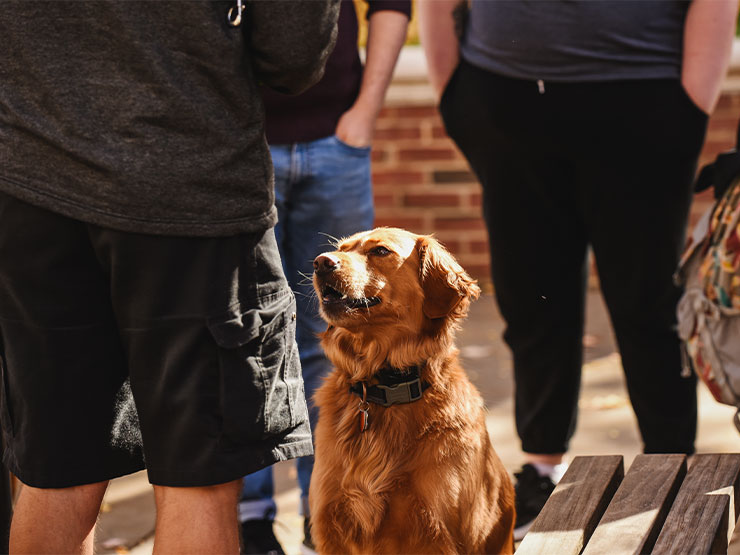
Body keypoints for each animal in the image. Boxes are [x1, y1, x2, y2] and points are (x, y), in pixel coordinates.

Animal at [310, 227, 512, 555]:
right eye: (341, 248)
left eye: (380, 251)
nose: (320, 263)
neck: (386, 386)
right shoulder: (331, 527)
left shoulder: (434, 531)